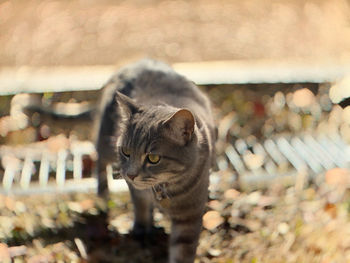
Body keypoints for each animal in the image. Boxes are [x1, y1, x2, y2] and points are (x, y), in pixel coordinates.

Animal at [94, 59, 217, 263]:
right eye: (126, 151)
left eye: (153, 158)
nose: (131, 174)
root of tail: (140, 61)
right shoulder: (136, 189)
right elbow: (141, 206)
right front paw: (142, 229)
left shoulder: (190, 216)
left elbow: (182, 252)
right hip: (105, 142)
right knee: (98, 158)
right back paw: (102, 196)